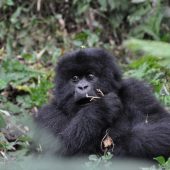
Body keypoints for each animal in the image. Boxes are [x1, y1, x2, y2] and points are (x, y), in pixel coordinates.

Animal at [36, 48, 170, 159]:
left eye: (90, 76)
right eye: (75, 78)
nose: (82, 87)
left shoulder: (137, 90)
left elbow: (163, 125)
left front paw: (120, 144)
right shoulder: (47, 113)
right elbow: (55, 150)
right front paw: (101, 108)